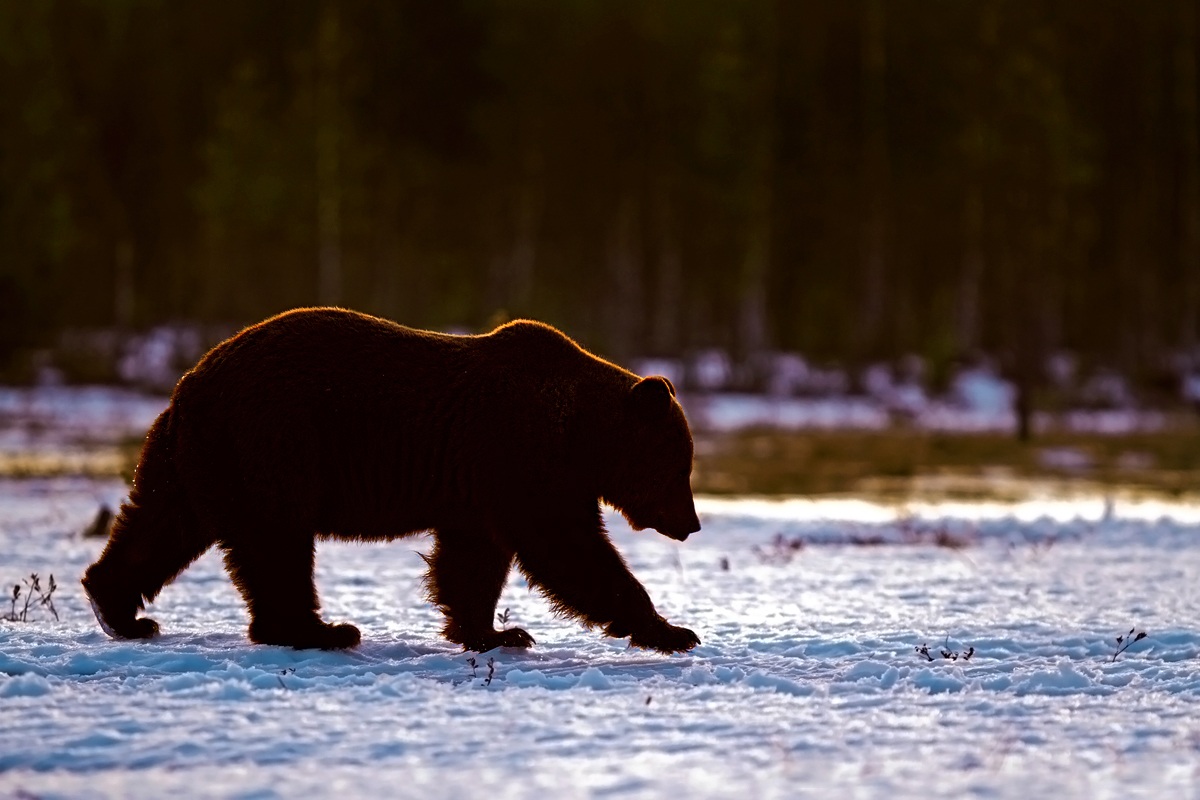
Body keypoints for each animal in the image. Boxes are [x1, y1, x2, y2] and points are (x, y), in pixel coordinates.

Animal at [82, 307, 702, 654]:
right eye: (681, 467)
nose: (692, 524)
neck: (580, 433)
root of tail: (190, 381)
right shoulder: (522, 456)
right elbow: (568, 549)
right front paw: (672, 630)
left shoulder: (477, 485)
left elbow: (473, 560)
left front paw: (496, 633)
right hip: (273, 439)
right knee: (276, 541)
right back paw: (321, 630)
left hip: (193, 454)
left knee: (161, 521)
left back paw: (120, 610)